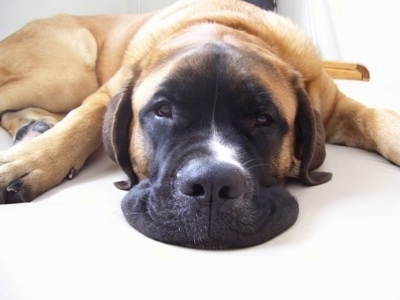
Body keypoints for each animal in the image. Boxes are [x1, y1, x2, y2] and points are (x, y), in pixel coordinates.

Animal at [0, 0, 400, 248]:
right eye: (163, 111)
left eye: (263, 119)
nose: (211, 185)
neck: (224, 24)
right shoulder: (105, 93)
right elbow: (79, 123)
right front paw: (27, 163)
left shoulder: (333, 105)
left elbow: (375, 117)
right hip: (67, 76)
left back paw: (34, 124)